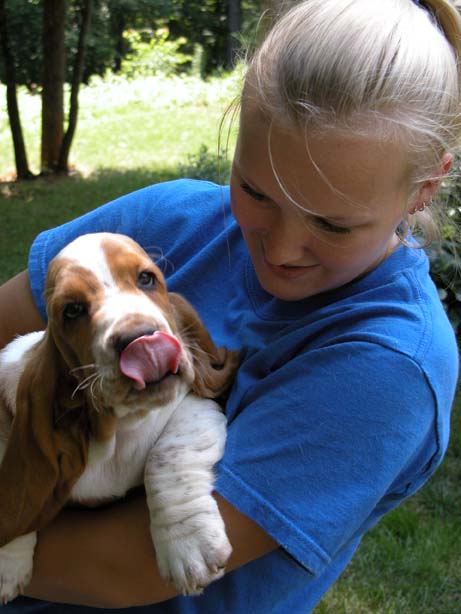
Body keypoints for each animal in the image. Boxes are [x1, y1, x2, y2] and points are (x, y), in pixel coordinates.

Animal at [0, 233, 237, 604]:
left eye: (146, 279)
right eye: (72, 310)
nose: (140, 339)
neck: (115, 430)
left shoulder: (193, 404)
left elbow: (167, 457)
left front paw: (188, 546)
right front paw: (7, 566)